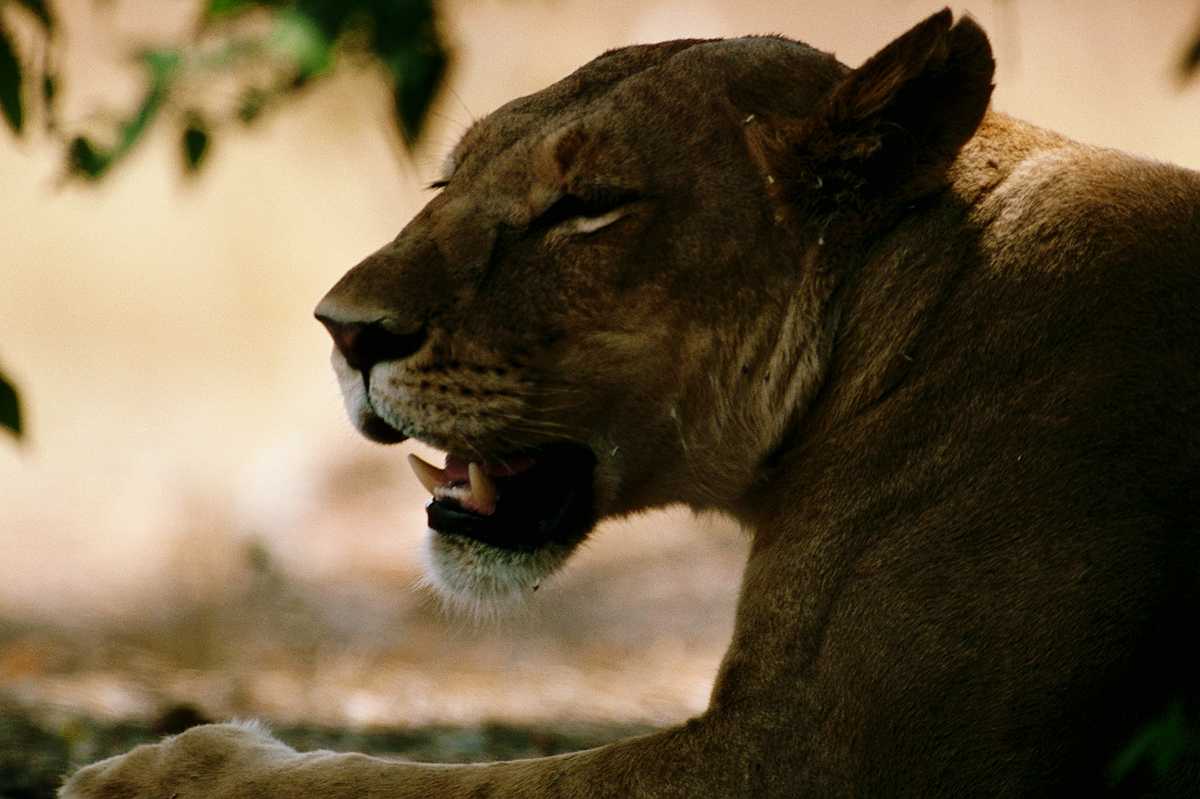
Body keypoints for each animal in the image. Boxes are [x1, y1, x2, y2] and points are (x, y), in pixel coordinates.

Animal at [61, 9, 1199, 797]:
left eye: (587, 206)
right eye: (445, 183)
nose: (344, 331)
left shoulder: (819, 755)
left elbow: (449, 785)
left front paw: (159, 769)